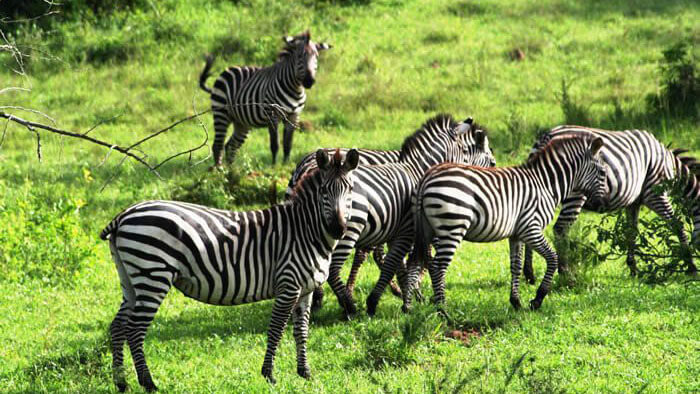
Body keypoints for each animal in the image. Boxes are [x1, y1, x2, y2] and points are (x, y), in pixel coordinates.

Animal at [100, 149, 358, 390]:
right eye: (324, 191)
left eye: (350, 190)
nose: (338, 229)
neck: (305, 231)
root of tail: (124, 215)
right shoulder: (288, 285)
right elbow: (276, 329)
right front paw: (269, 375)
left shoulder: (306, 290)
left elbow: (302, 331)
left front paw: (305, 373)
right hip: (153, 275)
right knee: (134, 329)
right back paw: (148, 383)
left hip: (131, 279)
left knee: (118, 326)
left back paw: (121, 383)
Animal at [198, 30, 332, 166]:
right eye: (300, 56)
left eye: (316, 57)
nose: (309, 81)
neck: (295, 89)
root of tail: (227, 70)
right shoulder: (272, 115)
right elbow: (275, 144)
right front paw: (274, 166)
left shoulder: (294, 116)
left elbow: (288, 144)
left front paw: (285, 164)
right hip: (221, 113)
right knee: (218, 145)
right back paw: (219, 169)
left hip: (242, 122)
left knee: (231, 145)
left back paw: (231, 169)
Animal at [312, 114, 498, 318]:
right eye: (492, 163)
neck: (417, 170)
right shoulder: (410, 231)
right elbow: (402, 263)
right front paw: (379, 301)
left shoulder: (399, 233)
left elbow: (399, 264)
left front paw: (407, 298)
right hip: (348, 231)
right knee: (333, 269)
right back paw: (348, 305)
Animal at [410, 134, 608, 312]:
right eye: (603, 172)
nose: (602, 205)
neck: (546, 185)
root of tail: (428, 176)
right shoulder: (531, 228)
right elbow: (553, 258)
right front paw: (538, 299)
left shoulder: (517, 234)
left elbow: (516, 266)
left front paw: (516, 302)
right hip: (452, 227)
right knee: (437, 267)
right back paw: (443, 310)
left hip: (428, 230)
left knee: (418, 262)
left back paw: (412, 306)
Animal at [524, 125, 696, 280]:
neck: (671, 166)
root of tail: (547, 136)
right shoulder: (655, 193)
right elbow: (677, 225)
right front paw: (691, 265)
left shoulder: (634, 203)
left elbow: (631, 232)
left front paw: (633, 269)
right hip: (575, 194)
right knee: (561, 228)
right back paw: (565, 272)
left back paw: (529, 274)